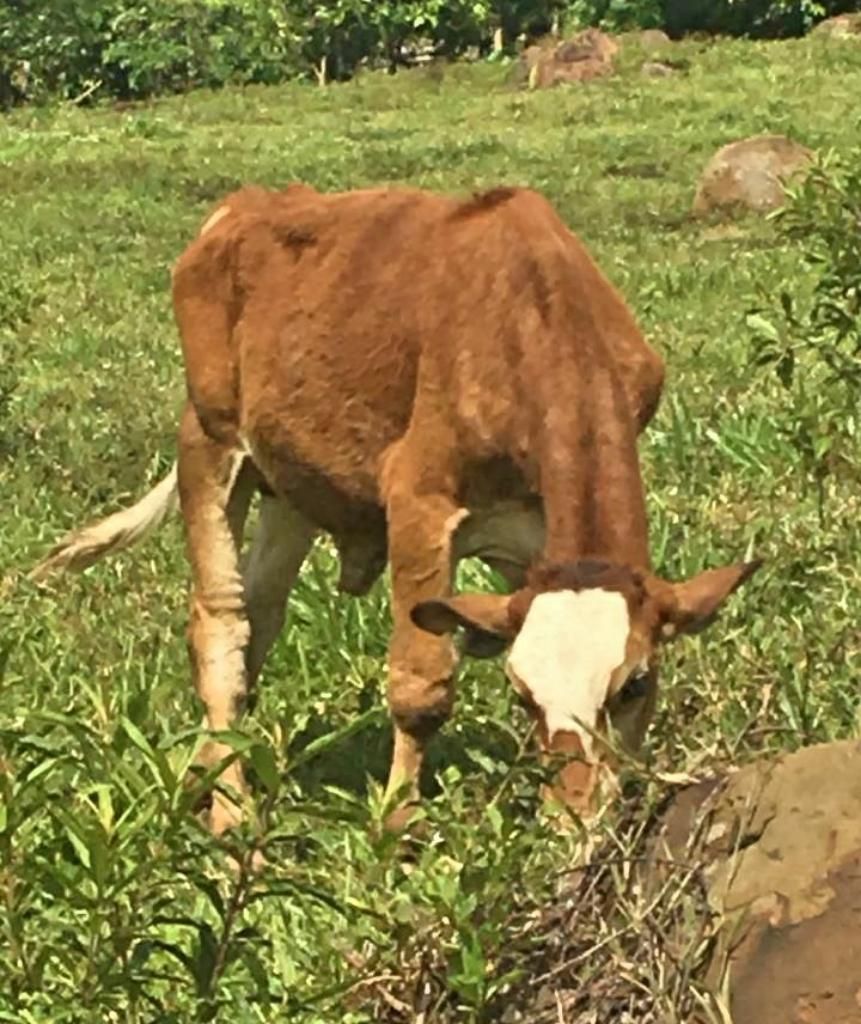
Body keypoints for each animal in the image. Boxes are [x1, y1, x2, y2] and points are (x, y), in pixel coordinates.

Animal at [33, 184, 757, 835]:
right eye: (522, 693)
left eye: (634, 685)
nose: (576, 817)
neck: (536, 321)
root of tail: (241, 207)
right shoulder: (418, 502)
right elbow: (421, 685)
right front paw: (397, 828)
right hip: (209, 443)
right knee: (221, 625)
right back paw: (231, 813)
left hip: (290, 485)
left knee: (259, 621)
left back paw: (199, 781)